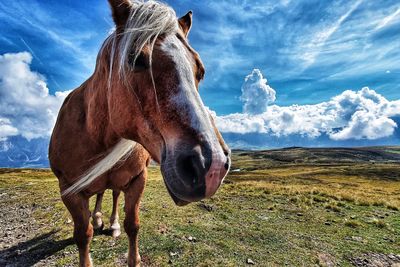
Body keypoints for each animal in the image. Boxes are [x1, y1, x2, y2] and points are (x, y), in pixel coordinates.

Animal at [49, 1, 231, 266]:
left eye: (201, 70)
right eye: (135, 59)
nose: (212, 165)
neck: (96, 133)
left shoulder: (137, 180)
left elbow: (132, 225)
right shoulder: (68, 189)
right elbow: (83, 235)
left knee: (112, 194)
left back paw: (110, 223)